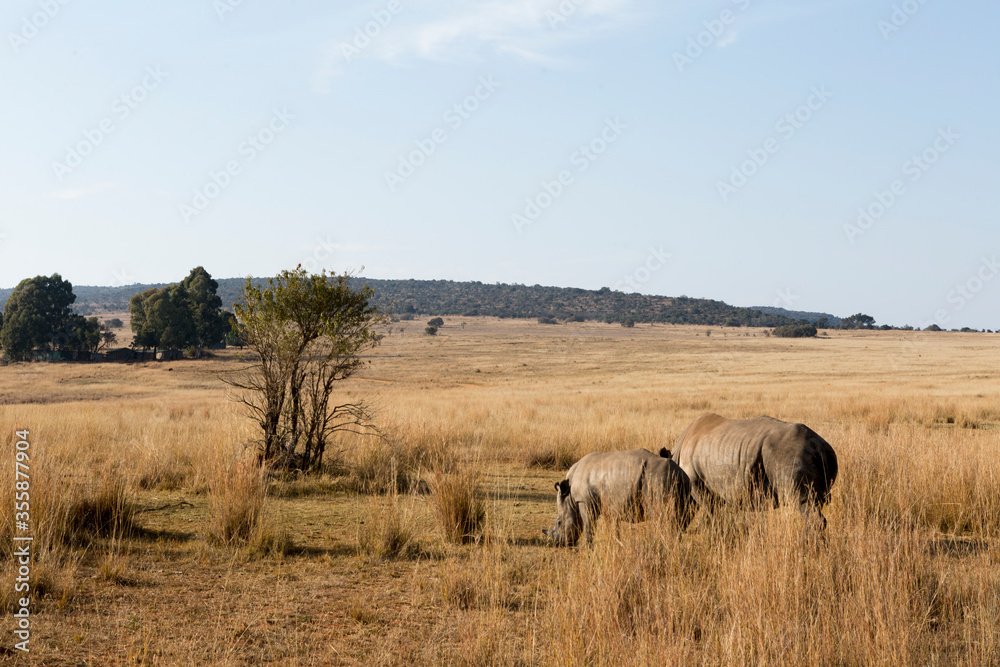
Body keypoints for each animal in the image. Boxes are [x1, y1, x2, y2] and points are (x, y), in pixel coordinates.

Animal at [544, 448, 692, 548]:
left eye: (559, 522)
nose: (558, 543)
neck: (569, 497)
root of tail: (680, 472)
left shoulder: (584, 501)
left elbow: (588, 525)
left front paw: (587, 547)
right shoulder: (609, 503)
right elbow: (613, 527)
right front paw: (616, 543)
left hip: (658, 479)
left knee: (663, 516)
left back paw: (663, 545)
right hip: (678, 481)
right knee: (678, 517)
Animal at [672, 412, 836, 528]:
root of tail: (819, 446)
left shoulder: (697, 485)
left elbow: (712, 515)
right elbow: (714, 515)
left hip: (793, 454)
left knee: (803, 504)